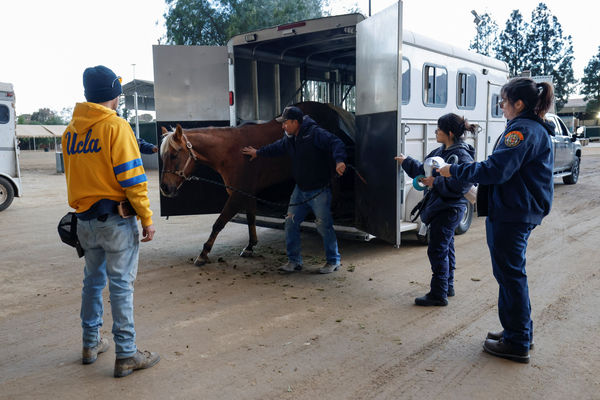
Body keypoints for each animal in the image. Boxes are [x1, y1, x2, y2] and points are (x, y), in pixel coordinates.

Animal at [159, 101, 352, 268]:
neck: (231, 152)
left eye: (174, 155)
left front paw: (203, 254)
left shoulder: (237, 195)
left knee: (334, 185)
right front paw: (250, 246)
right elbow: (251, 217)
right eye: (162, 156)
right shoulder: (246, 192)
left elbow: (219, 223)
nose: (165, 188)